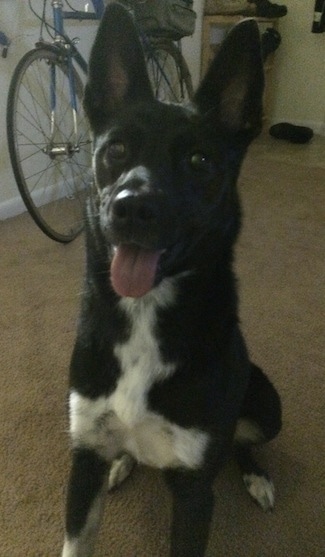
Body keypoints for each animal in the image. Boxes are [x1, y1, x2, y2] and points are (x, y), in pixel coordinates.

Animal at [61, 3, 280, 552]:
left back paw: (256, 476)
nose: (132, 207)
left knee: (241, 443)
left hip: (268, 406)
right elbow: (75, 540)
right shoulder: (83, 459)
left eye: (199, 160)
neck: (145, 313)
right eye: (116, 150)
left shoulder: (195, 492)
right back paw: (122, 462)